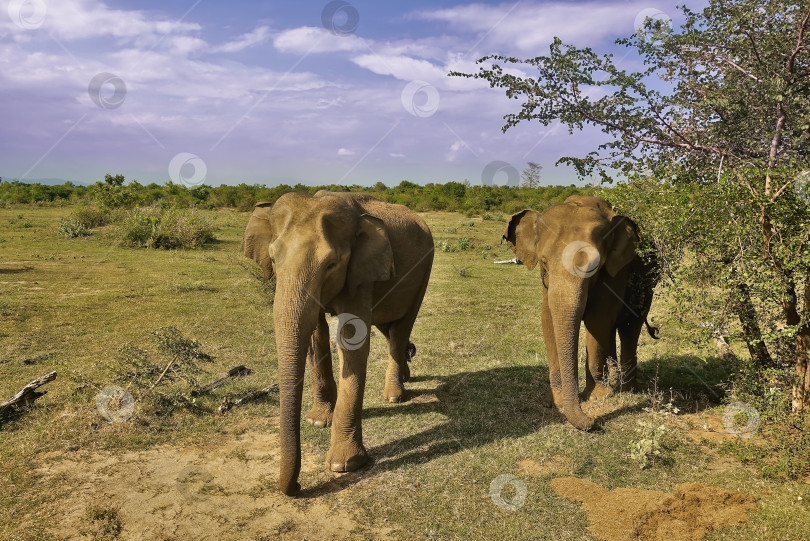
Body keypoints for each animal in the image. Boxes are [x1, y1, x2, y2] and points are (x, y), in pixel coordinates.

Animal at [240, 190, 432, 494]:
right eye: (272, 258)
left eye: (331, 264)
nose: (297, 487)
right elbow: (315, 333)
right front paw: (317, 420)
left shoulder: (361, 272)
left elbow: (353, 341)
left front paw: (345, 465)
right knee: (390, 328)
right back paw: (405, 375)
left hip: (423, 271)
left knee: (401, 328)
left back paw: (394, 395)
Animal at [504, 195, 656, 430]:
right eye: (544, 262)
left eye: (594, 265)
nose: (593, 420)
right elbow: (548, 319)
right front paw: (554, 400)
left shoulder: (614, 273)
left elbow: (597, 320)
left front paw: (597, 397)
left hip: (647, 288)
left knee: (629, 328)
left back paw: (626, 390)